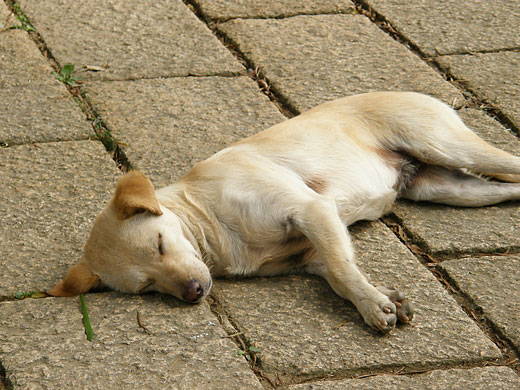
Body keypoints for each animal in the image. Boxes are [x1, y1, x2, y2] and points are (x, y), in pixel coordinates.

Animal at [48, 92, 520, 332]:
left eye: (161, 244)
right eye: (146, 287)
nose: (193, 293)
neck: (213, 227)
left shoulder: (311, 209)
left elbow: (343, 269)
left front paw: (371, 306)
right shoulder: (310, 255)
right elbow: (340, 272)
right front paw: (379, 296)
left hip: (446, 146)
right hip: (447, 189)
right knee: (506, 190)